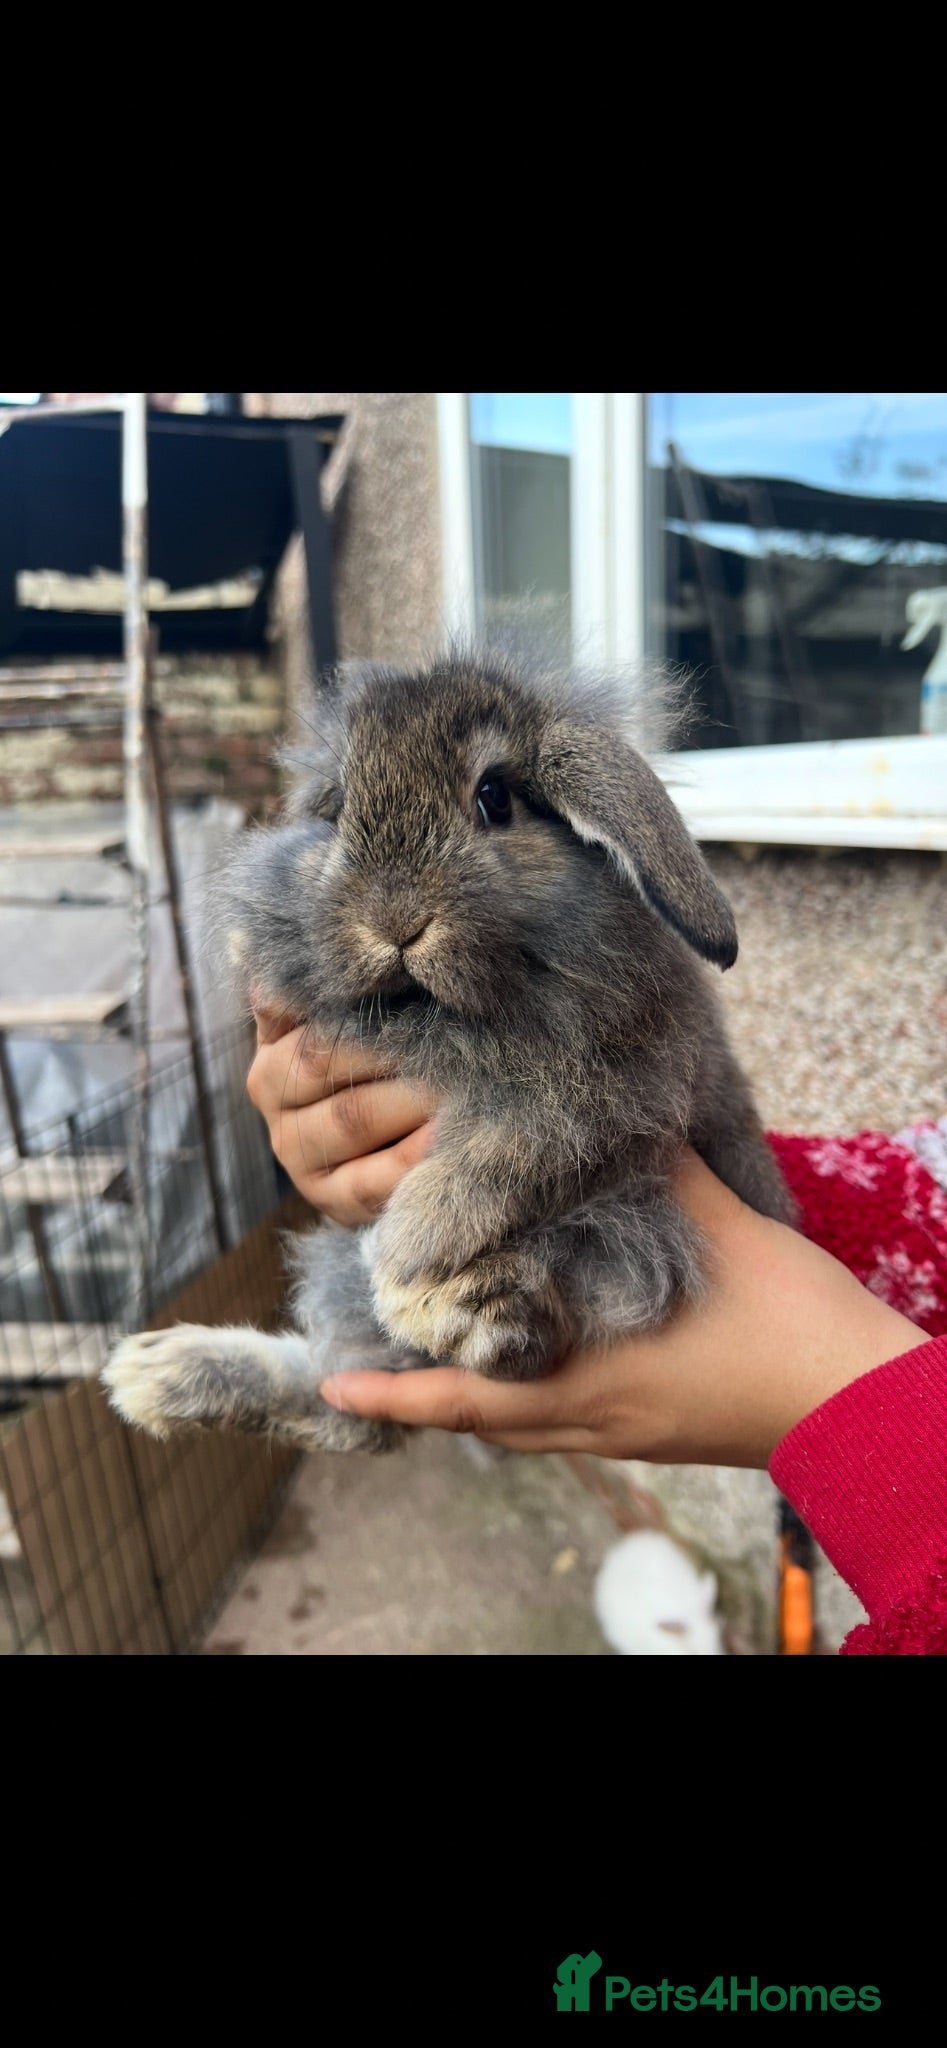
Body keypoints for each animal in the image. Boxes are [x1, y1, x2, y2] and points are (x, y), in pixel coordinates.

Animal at [102, 639, 793, 1456]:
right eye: (336, 810)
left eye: (494, 798)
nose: (394, 920)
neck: (437, 1015)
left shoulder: (612, 1099)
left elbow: (499, 1155)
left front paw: (405, 1256)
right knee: (342, 1401)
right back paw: (155, 1374)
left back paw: (464, 1313)